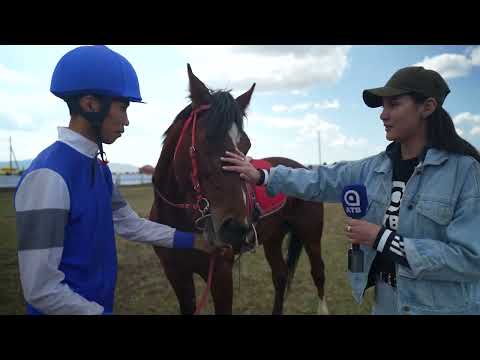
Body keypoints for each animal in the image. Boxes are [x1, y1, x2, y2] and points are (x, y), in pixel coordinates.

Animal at [149, 64, 326, 316]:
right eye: (205, 139)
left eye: (246, 144)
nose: (235, 228)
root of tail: (304, 169)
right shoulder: (177, 274)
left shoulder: (220, 274)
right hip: (273, 238)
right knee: (281, 276)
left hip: (310, 235)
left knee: (318, 273)